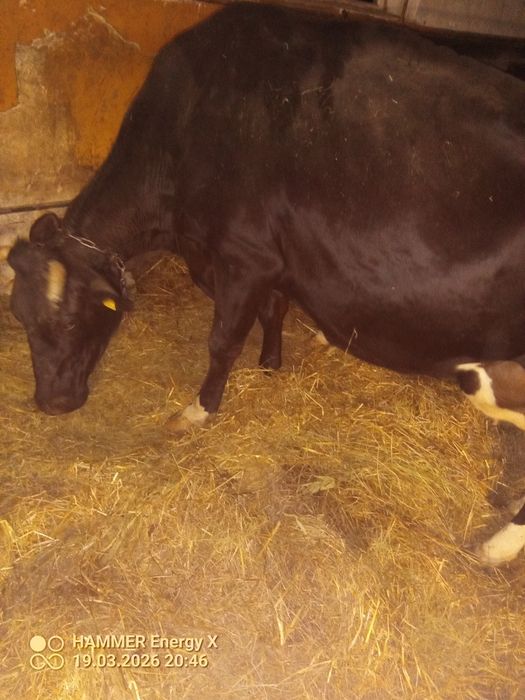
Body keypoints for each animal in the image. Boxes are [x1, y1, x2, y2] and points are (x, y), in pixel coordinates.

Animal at [7, 4, 525, 563]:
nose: (52, 402)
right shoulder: (270, 259)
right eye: (21, 318)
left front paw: (198, 410)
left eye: (71, 320)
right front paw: (271, 363)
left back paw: (497, 547)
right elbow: (273, 309)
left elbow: (222, 340)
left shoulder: (243, 255)